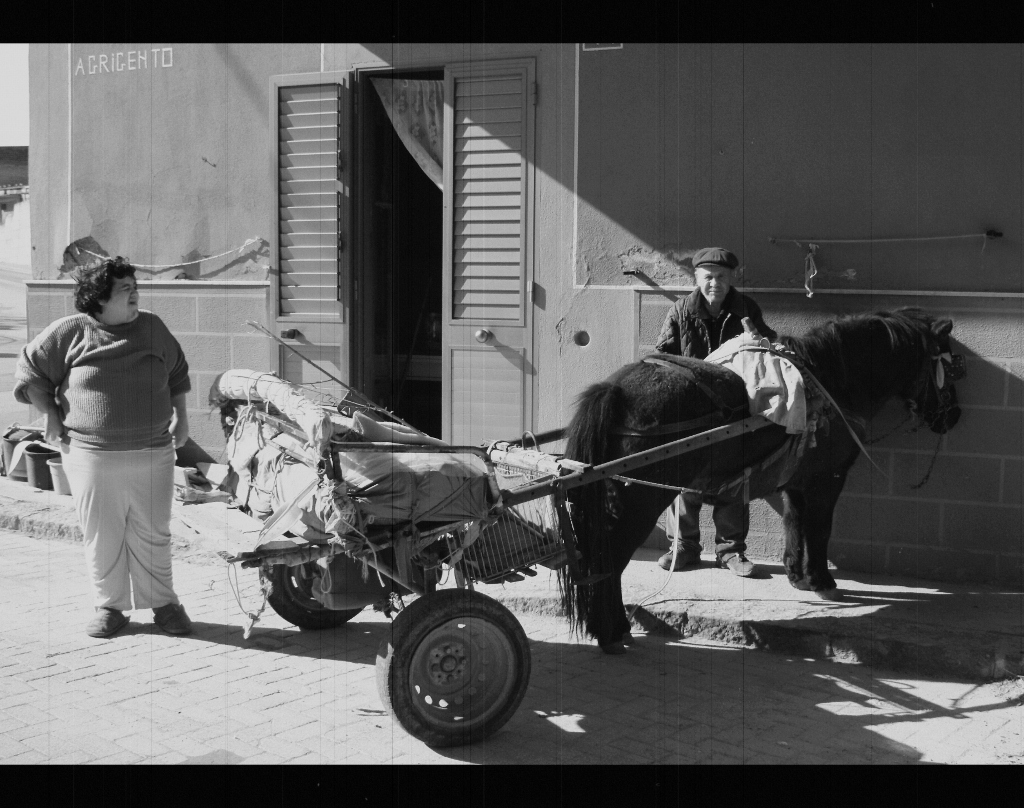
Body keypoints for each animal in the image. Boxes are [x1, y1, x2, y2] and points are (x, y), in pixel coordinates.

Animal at [557, 305, 962, 651]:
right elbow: (820, 529)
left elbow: (794, 524)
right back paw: (611, 631)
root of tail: (616, 390)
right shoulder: (827, 481)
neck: (829, 382)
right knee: (611, 558)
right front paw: (823, 582)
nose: (953, 416)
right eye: (951, 367)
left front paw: (799, 577)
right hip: (640, 502)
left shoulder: (797, 481)